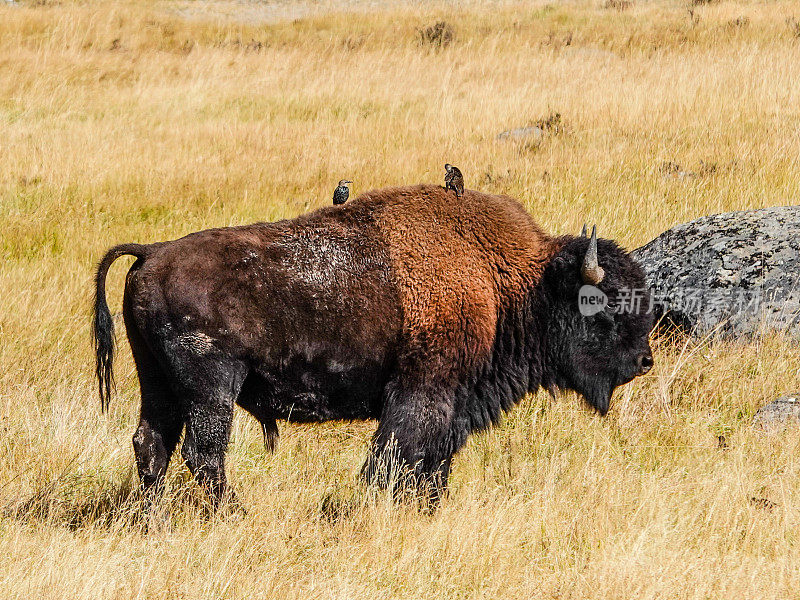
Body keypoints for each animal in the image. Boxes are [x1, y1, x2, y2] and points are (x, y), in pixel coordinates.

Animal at [94, 185, 652, 504]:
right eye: (602, 306)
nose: (644, 360)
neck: (510, 282)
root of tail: (152, 252)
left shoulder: (452, 405)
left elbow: (433, 461)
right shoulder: (422, 392)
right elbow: (396, 456)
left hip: (158, 383)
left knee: (152, 444)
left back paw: (153, 518)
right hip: (213, 389)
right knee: (203, 454)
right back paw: (234, 515)